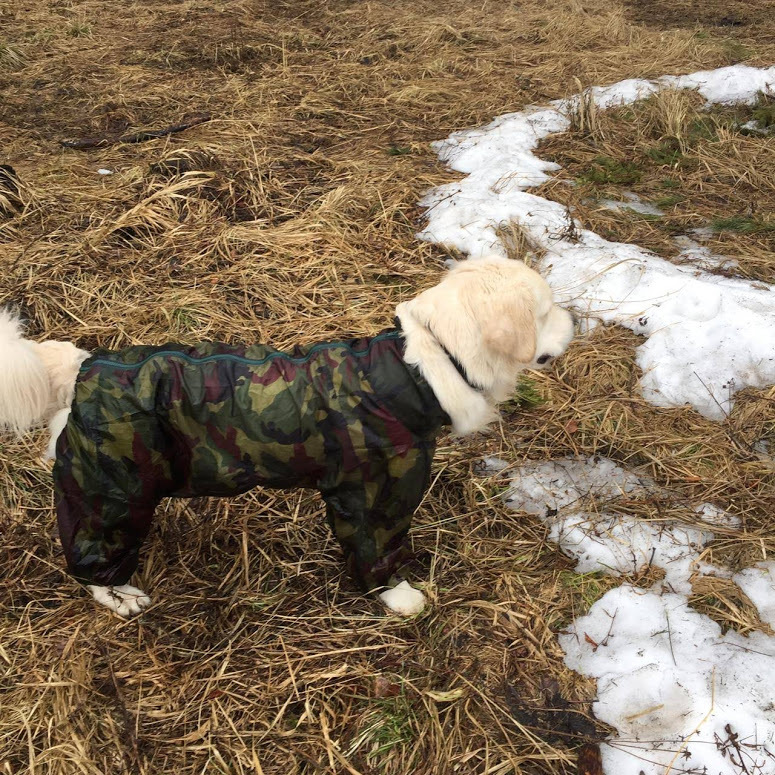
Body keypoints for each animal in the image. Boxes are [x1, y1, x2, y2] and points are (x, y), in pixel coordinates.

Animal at [0, 260, 576, 620]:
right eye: (546, 311)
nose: (577, 320)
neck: (422, 366)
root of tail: (82, 368)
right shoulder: (374, 496)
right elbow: (378, 556)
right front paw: (399, 597)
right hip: (110, 494)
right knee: (92, 559)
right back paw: (119, 596)